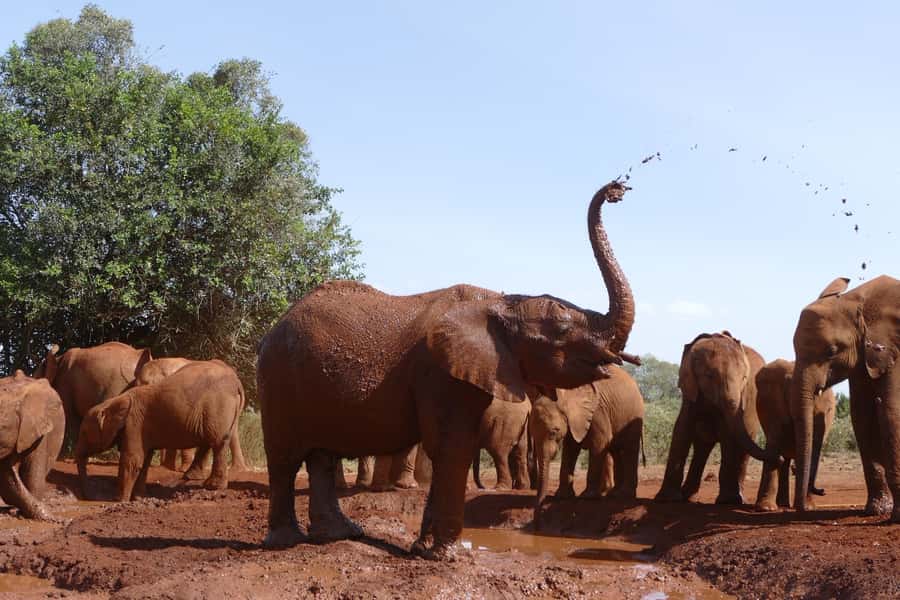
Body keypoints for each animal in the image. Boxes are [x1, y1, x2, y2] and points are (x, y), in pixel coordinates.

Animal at [74, 360, 244, 501]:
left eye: (84, 433)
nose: (88, 497)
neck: (113, 402)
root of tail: (237, 382)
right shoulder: (141, 427)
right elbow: (145, 460)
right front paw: (138, 498)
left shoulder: (134, 423)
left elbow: (132, 460)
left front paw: (119, 500)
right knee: (213, 441)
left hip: (218, 406)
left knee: (217, 442)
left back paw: (212, 486)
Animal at [530, 365, 644, 522]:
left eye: (554, 432)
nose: (537, 522)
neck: (565, 394)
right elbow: (570, 448)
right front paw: (562, 496)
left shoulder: (597, 411)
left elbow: (600, 442)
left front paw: (588, 497)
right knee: (616, 451)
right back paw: (614, 494)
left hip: (633, 414)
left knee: (629, 449)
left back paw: (624, 495)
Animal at [655, 331, 781, 505]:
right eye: (710, 376)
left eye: (744, 378)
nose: (780, 458)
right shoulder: (690, 391)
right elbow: (681, 430)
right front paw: (667, 499)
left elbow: (727, 434)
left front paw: (727, 501)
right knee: (702, 447)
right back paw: (688, 496)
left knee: (742, 451)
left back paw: (738, 498)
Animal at [754, 359, 836, 511]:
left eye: (829, 410)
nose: (823, 491)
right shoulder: (771, 405)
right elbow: (774, 442)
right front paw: (765, 509)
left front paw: (808, 507)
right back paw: (780, 505)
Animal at [791, 275, 900, 520]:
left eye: (831, 351)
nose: (820, 491)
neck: (857, 301)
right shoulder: (863, 358)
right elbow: (862, 416)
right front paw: (876, 511)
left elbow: (891, 411)